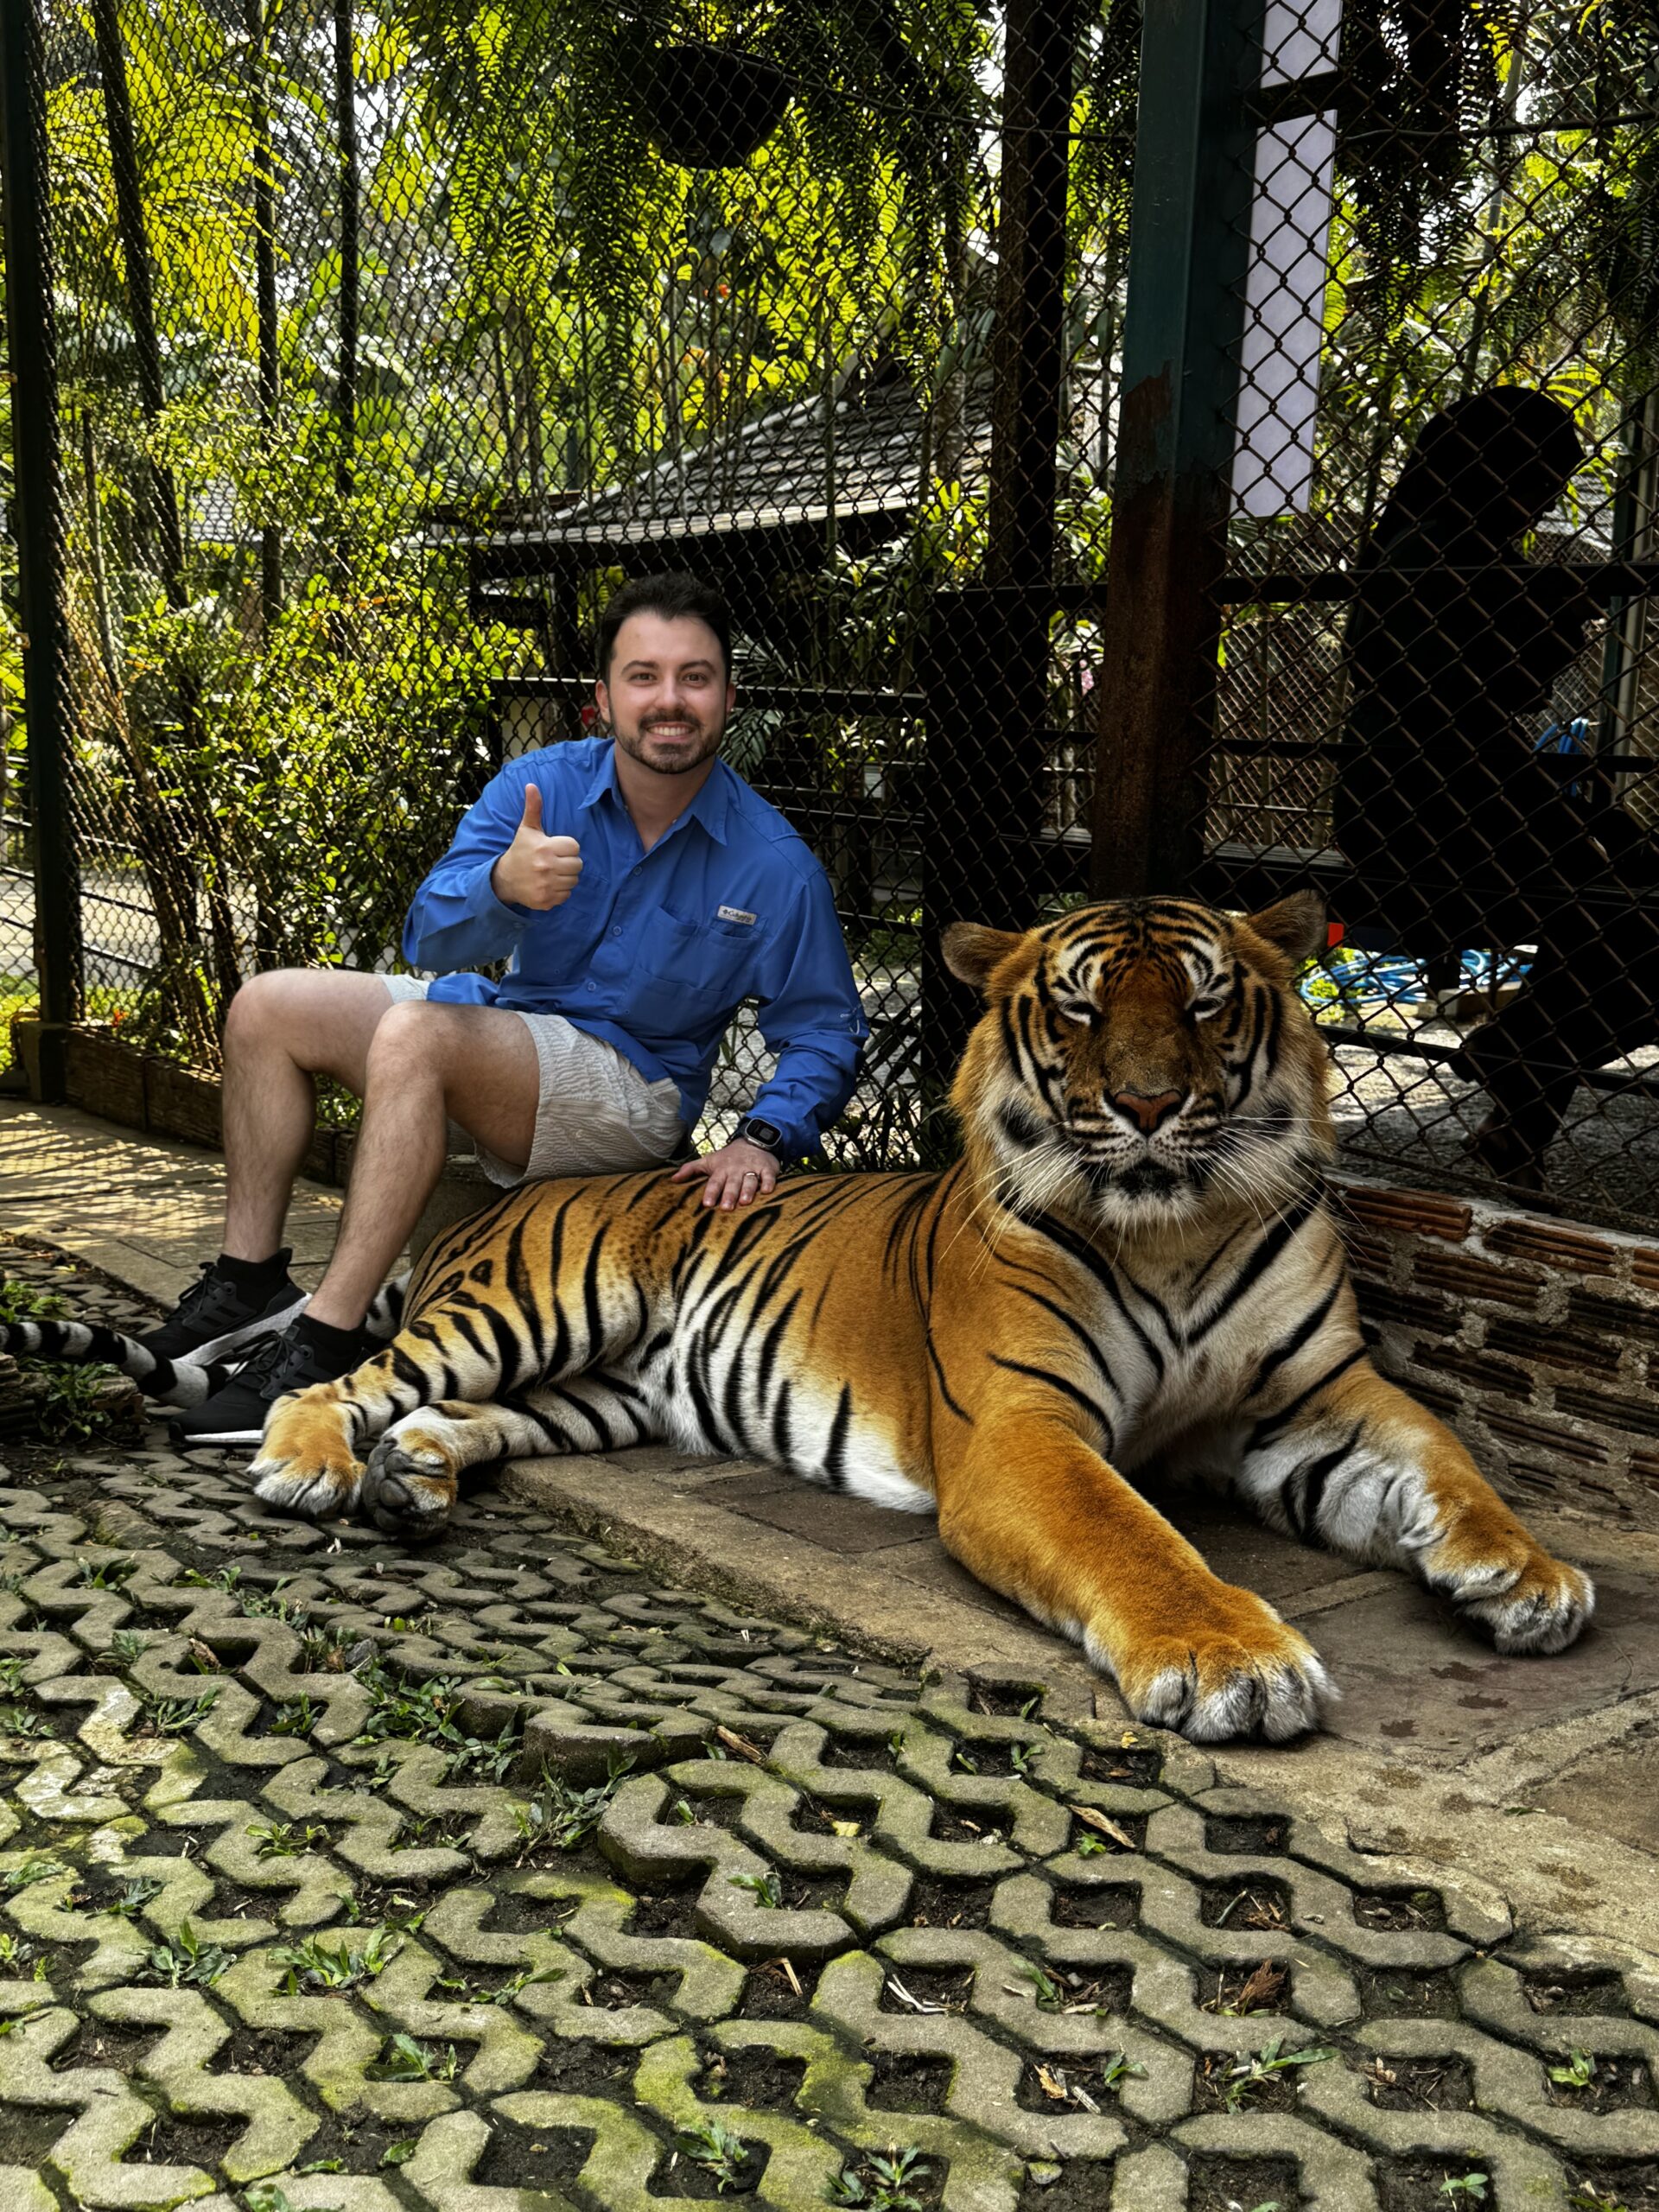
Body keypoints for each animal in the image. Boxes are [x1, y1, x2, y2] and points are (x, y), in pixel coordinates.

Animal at [10, 898, 1601, 1743]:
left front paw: (1526, 1576)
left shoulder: (1318, 1399)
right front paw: (1235, 1662)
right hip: (541, 1305)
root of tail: (490, 1211)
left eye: (1209, 1008)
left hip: (609, 1388)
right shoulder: (1023, 1427)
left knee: (455, 1415)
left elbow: (1449, 1456)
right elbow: (1134, 1535)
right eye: (1082, 1012)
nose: (1152, 1106)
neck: (1179, 1216)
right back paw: (310, 1459)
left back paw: (414, 1484)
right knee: (363, 1374)